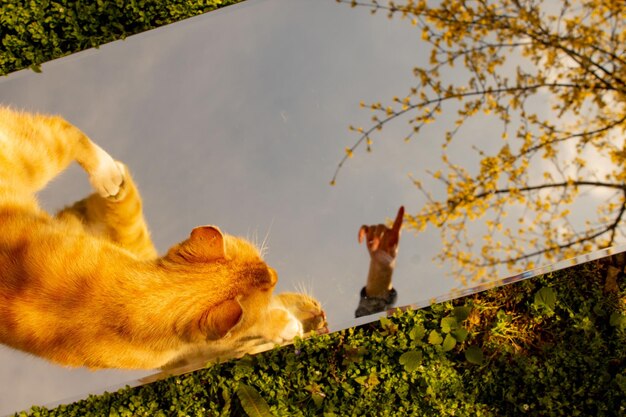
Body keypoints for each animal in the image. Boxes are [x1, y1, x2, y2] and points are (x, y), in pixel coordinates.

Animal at [0, 106, 322, 368]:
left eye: (265, 266)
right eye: (269, 284)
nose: (276, 272)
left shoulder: (84, 220)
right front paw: (285, 325)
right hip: (39, 156)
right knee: (62, 128)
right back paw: (107, 172)